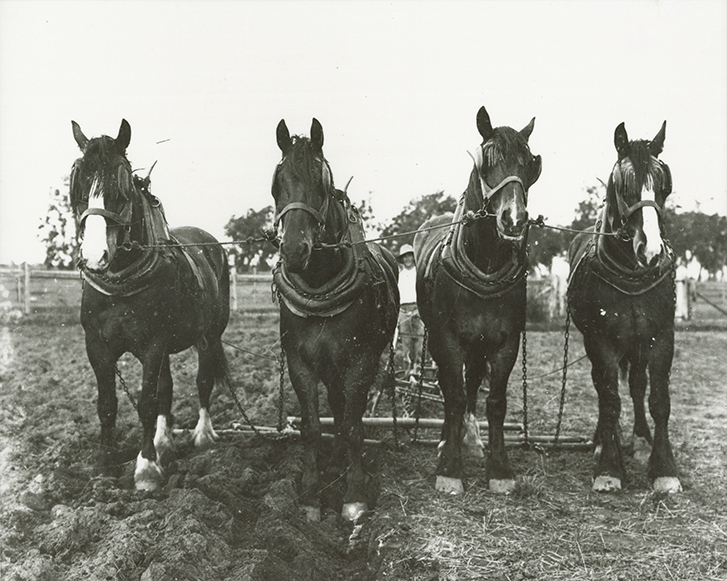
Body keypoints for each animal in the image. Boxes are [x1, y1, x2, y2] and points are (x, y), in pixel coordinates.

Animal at [70, 119, 231, 491]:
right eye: (79, 182)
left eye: (122, 188)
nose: (94, 256)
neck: (121, 283)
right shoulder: (96, 346)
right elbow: (108, 404)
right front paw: (105, 465)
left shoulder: (153, 345)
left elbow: (145, 402)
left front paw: (146, 469)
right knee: (167, 389)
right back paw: (163, 442)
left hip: (209, 336)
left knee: (202, 380)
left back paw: (203, 435)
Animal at [272, 118, 399, 521]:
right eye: (277, 181)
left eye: (321, 183)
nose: (294, 250)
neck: (319, 287)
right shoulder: (300, 362)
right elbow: (313, 428)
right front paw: (311, 495)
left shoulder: (361, 362)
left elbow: (354, 427)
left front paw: (355, 495)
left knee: (347, 416)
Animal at [414, 106, 542, 495]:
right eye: (488, 160)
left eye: (530, 163)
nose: (514, 220)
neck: (484, 260)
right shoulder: (447, 338)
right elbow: (453, 395)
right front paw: (450, 467)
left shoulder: (504, 341)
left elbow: (495, 402)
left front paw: (499, 469)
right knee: (450, 386)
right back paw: (448, 438)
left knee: (471, 382)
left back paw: (469, 438)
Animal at [567, 121, 680, 493]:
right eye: (623, 186)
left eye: (664, 186)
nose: (651, 251)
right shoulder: (600, 341)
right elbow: (610, 399)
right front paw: (609, 467)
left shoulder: (661, 338)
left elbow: (658, 400)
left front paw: (664, 468)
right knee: (605, 391)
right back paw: (605, 439)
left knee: (636, 385)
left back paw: (640, 440)